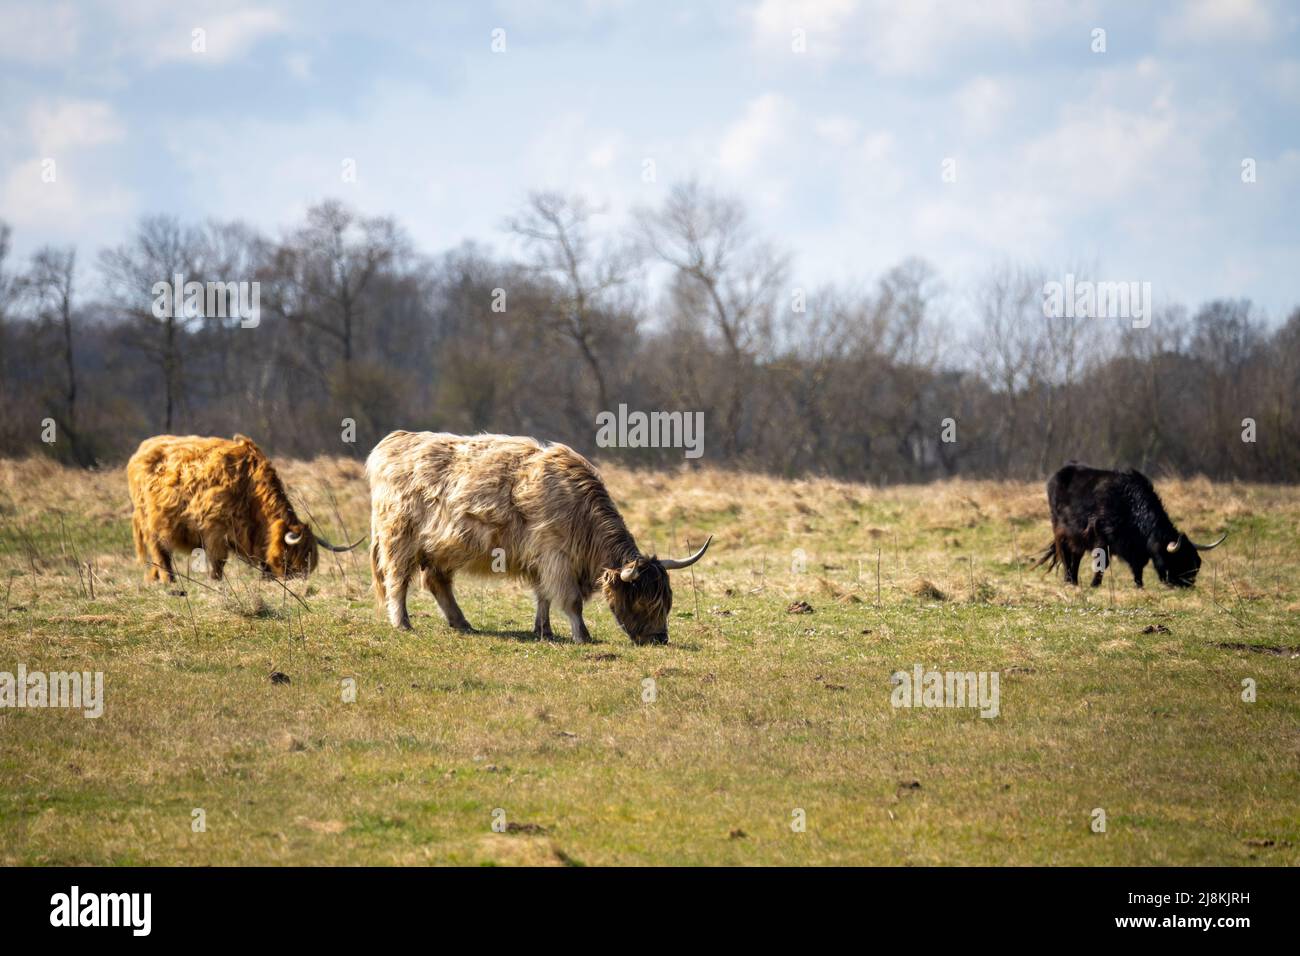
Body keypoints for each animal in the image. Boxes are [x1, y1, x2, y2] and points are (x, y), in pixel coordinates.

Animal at [1034, 465, 1227, 590]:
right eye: (1178, 559)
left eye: (1196, 562)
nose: (1187, 584)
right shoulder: (1101, 538)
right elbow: (1102, 563)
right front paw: (1095, 584)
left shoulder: (1135, 548)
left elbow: (1137, 566)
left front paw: (1139, 585)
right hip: (1061, 532)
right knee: (1066, 554)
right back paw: (1068, 580)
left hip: (1077, 539)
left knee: (1076, 556)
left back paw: (1073, 580)